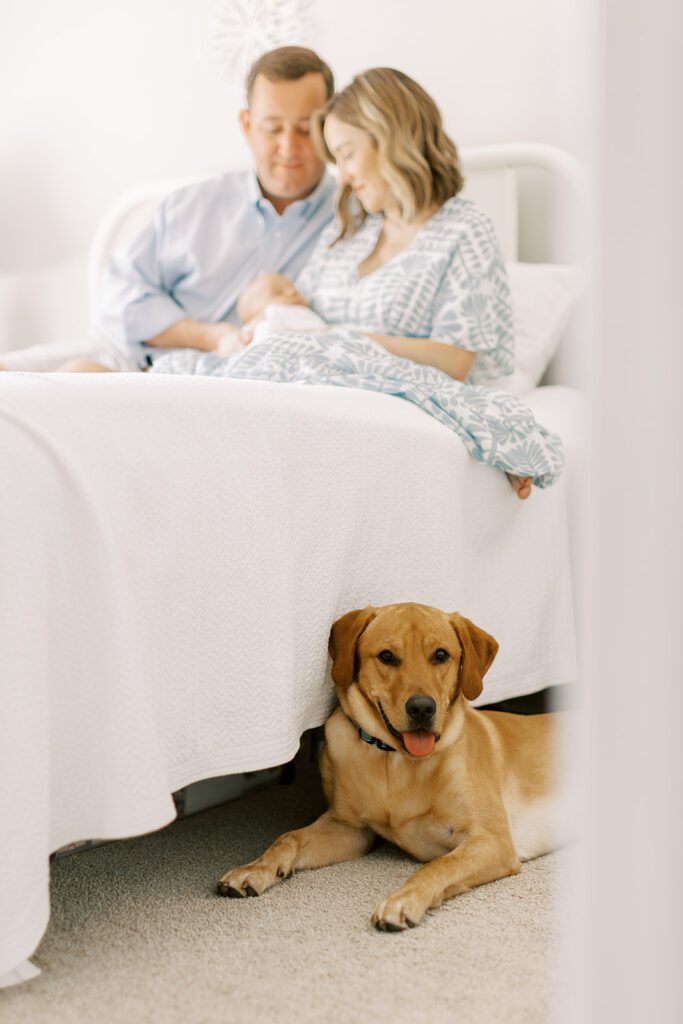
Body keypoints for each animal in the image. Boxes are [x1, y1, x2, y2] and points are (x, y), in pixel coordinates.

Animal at [218, 598, 565, 929]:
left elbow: (438, 866)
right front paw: (256, 868)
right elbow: (288, 837)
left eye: (441, 655)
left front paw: (403, 901)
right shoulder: (350, 829)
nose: (422, 708)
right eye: (387, 656)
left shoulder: (492, 839)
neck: (395, 760)